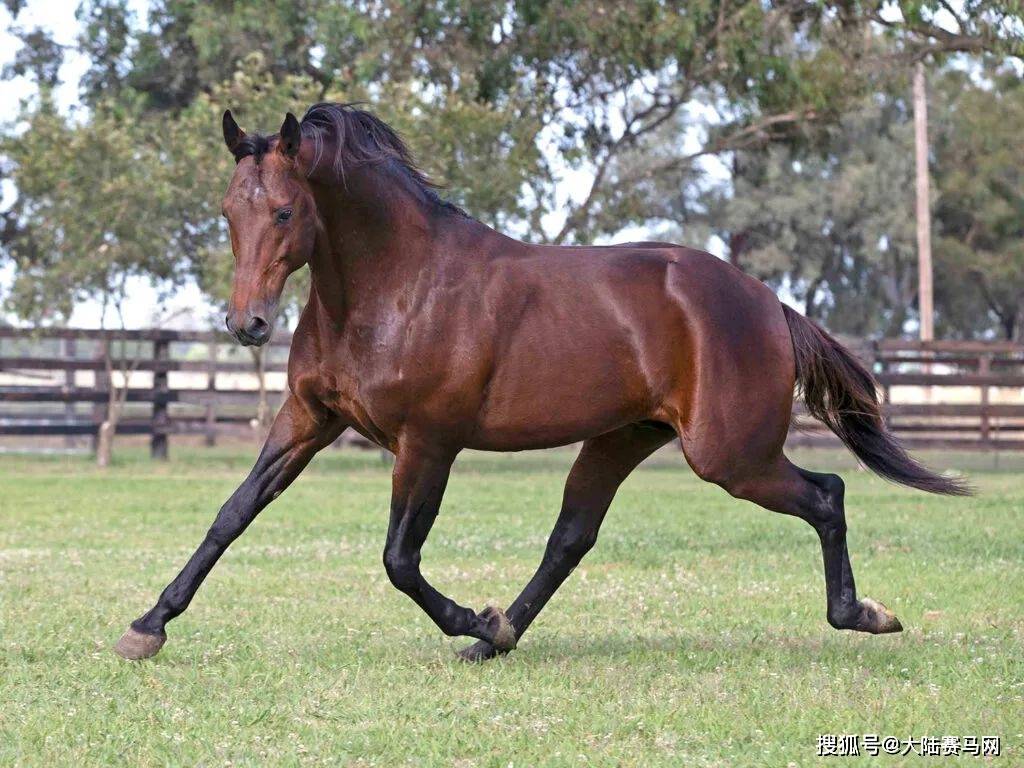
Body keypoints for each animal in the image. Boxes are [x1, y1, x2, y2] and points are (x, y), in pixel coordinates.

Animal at [114, 103, 968, 663]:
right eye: (230, 212)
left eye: (287, 213)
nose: (247, 324)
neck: (393, 286)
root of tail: (766, 302)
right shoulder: (307, 418)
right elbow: (231, 516)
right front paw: (147, 626)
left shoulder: (428, 443)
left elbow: (399, 559)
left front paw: (472, 616)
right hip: (624, 438)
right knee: (571, 538)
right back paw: (502, 638)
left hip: (729, 454)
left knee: (827, 494)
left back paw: (863, 615)